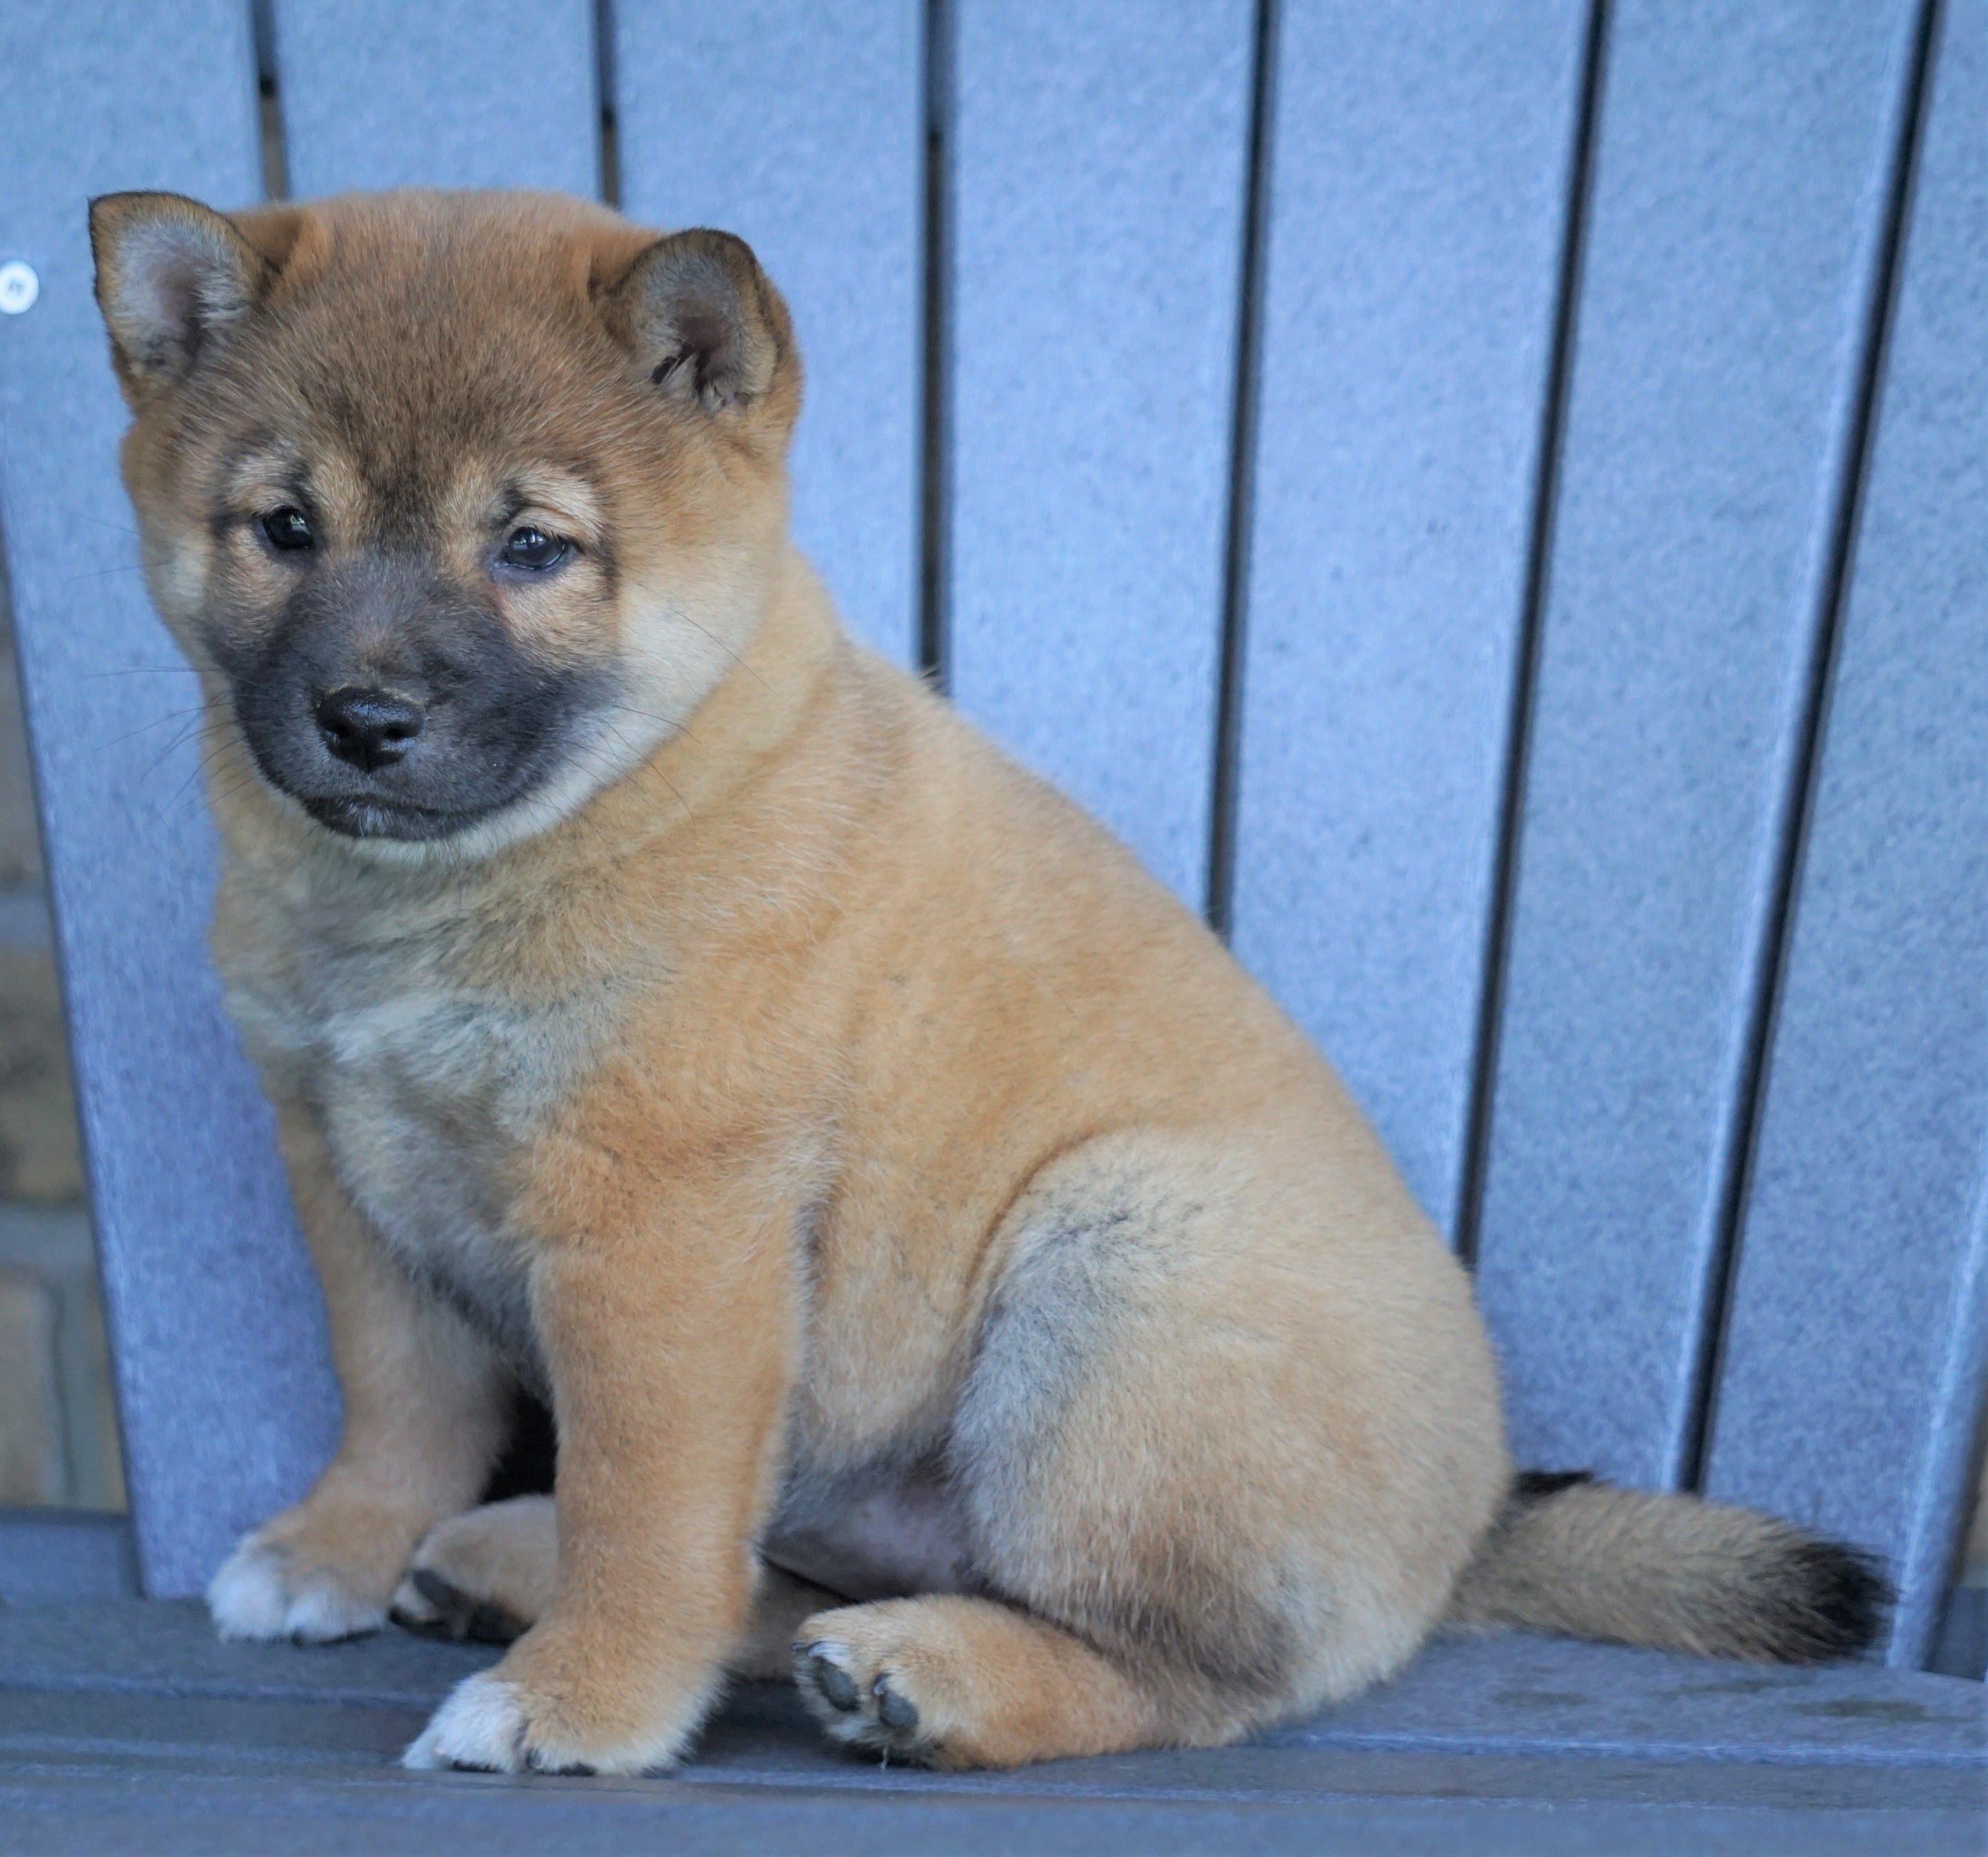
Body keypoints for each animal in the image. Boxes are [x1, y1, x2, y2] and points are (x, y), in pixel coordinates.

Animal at [93, 184, 1884, 1773]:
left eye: (531, 549)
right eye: (285, 530)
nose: (364, 718)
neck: (460, 889)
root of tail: (1464, 1537)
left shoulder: (660, 1221)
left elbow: (644, 1499)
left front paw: (580, 1700)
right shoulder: (344, 1169)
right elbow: (400, 1399)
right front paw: (343, 1545)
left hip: (1119, 1282)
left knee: (1178, 1673)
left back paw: (925, 1681)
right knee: (788, 1578)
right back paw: (515, 1566)